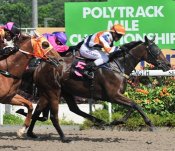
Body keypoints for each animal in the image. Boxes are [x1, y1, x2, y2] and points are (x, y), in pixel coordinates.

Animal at [18, 35, 170, 142]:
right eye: (155, 50)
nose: (167, 65)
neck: (116, 66)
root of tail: (40, 66)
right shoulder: (113, 95)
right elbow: (135, 104)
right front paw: (150, 124)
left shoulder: (117, 95)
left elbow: (132, 106)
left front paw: (117, 121)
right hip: (53, 91)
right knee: (52, 114)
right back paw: (63, 136)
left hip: (57, 92)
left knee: (48, 110)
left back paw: (31, 133)